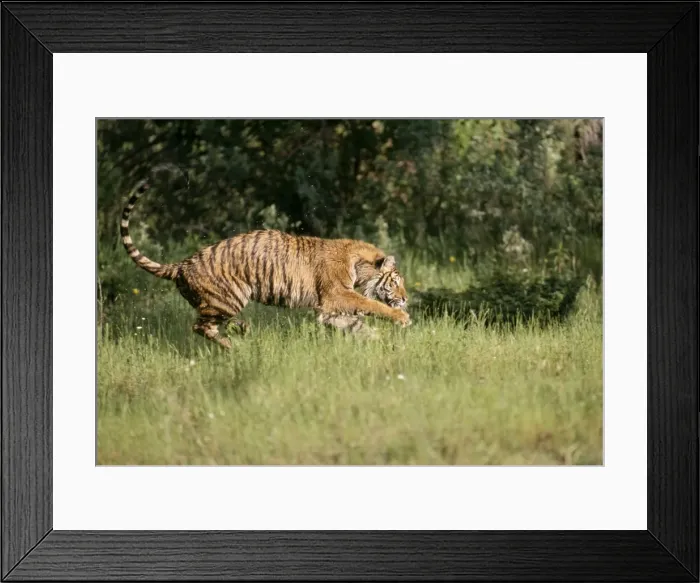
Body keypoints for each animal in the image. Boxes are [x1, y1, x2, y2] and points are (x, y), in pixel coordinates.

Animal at [120, 170, 411, 349]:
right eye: (395, 282)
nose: (406, 298)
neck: (357, 264)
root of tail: (182, 264)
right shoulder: (337, 295)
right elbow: (370, 305)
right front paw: (401, 318)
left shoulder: (327, 309)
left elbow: (355, 324)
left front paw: (378, 341)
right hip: (229, 297)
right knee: (200, 326)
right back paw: (235, 342)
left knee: (208, 324)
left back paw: (238, 335)